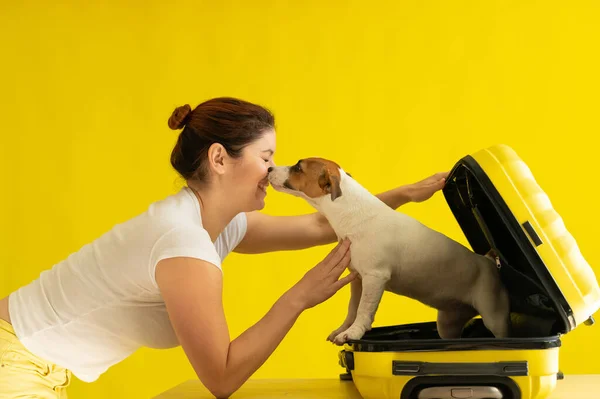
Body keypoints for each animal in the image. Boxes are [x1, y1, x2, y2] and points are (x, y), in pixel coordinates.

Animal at [268, 158, 510, 346]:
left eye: (298, 167)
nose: (269, 168)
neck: (352, 212)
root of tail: (488, 261)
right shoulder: (358, 279)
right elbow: (352, 308)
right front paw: (344, 328)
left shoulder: (375, 277)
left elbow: (363, 309)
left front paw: (353, 332)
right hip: (447, 324)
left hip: (494, 316)